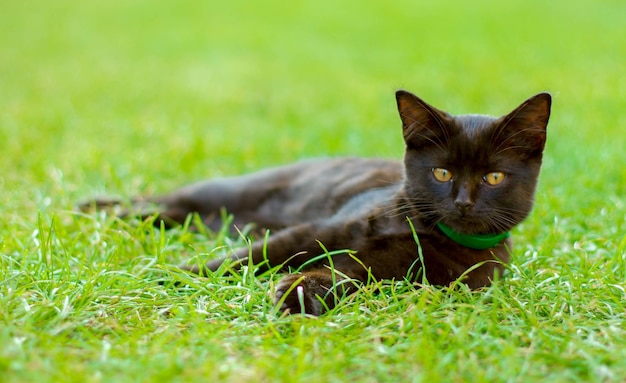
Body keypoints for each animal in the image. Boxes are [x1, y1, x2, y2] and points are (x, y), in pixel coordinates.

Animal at [80, 90, 548, 316]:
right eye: (442, 174)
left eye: (492, 178)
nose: (464, 202)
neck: (418, 231)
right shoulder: (318, 230)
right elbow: (251, 256)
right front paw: (173, 277)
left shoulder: (412, 280)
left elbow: (350, 276)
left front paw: (300, 294)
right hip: (226, 194)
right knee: (166, 202)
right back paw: (98, 208)